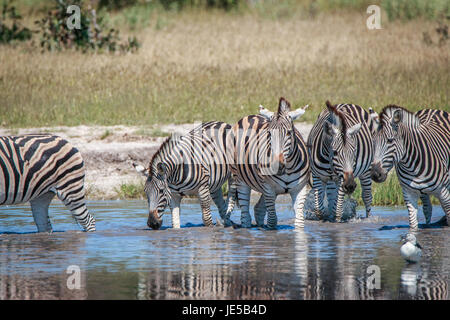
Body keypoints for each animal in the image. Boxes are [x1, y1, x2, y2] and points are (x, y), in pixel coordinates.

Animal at [227, 96, 312, 229]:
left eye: (289, 133)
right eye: (269, 133)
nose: (277, 165)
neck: (287, 169)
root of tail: (248, 116)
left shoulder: (300, 189)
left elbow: (299, 221)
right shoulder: (268, 188)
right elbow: (272, 221)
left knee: (258, 209)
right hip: (240, 178)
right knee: (245, 215)